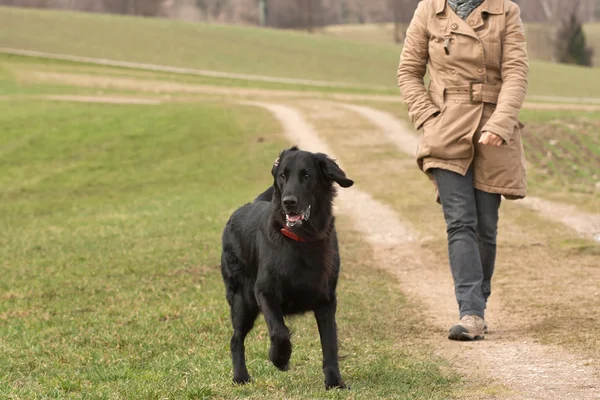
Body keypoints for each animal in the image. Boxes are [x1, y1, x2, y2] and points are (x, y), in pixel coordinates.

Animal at [220, 145, 354, 390]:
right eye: (283, 176)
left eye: (307, 175)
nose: (288, 201)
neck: (301, 240)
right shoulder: (264, 291)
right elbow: (279, 331)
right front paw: (280, 358)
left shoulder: (326, 299)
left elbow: (330, 343)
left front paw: (334, 382)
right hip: (242, 300)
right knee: (236, 339)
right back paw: (240, 376)